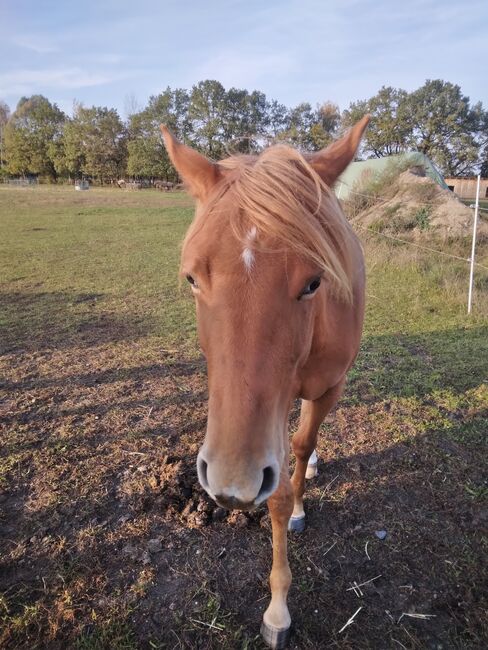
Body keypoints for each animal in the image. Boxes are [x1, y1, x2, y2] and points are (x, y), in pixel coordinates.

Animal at [161, 117, 370, 648]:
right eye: (192, 278)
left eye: (314, 282)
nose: (232, 484)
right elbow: (276, 490)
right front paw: (278, 606)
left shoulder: (326, 389)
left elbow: (300, 446)